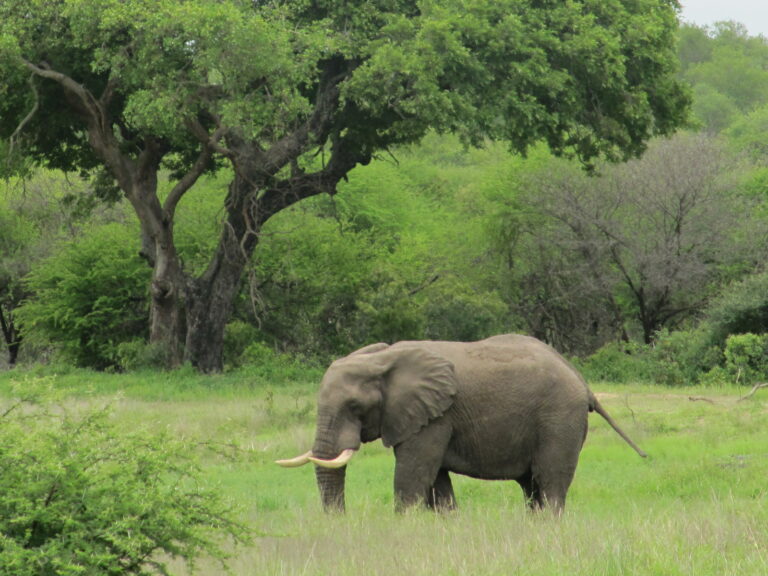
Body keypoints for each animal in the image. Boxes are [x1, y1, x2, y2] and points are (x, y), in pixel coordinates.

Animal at [278, 332, 648, 512]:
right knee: (532, 487)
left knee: (550, 483)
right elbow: (437, 482)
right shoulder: (427, 418)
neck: (384, 358)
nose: (341, 519)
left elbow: (412, 477)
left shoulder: (434, 417)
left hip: (560, 419)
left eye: (355, 406)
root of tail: (582, 381)